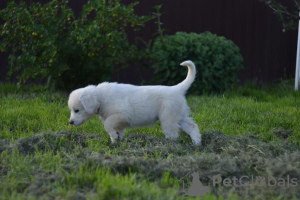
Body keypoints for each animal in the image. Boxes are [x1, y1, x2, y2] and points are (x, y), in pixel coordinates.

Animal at [68, 60, 202, 145]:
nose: (70, 122)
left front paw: (114, 137)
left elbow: (107, 124)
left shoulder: (120, 114)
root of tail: (176, 89)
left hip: (168, 117)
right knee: (192, 127)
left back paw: (169, 145)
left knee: (173, 134)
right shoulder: (119, 121)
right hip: (180, 115)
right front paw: (115, 141)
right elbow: (116, 130)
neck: (101, 97)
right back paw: (196, 144)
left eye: (77, 110)